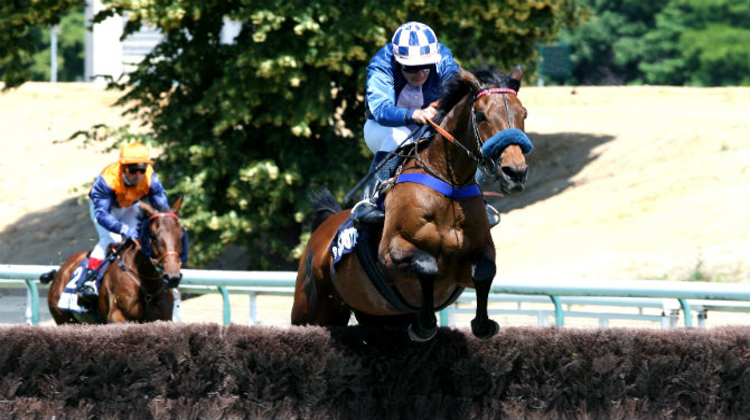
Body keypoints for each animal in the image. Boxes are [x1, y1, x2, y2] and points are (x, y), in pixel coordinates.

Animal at [294, 66, 536, 342]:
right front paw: (425, 325)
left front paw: (483, 324)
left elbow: (485, 271)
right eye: (482, 115)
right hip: (310, 309)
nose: (514, 173)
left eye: (523, 113)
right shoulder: (391, 253)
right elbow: (426, 265)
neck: (449, 187)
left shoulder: (475, 255)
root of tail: (323, 228)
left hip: (376, 313)